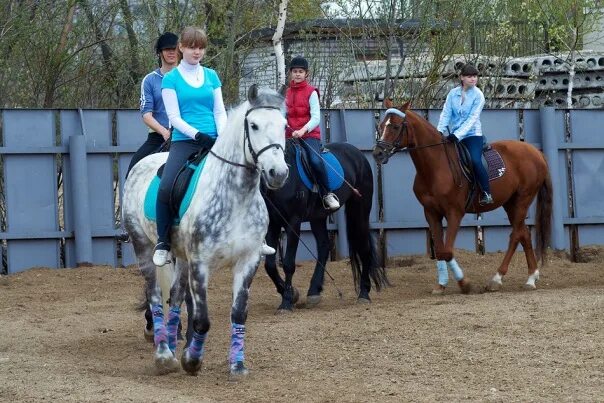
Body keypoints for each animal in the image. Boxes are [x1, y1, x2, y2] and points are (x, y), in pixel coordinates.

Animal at [264, 139, 386, 312]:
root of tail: (358, 154)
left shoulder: (293, 222)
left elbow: (288, 263)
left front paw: (286, 302)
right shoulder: (272, 224)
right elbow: (269, 265)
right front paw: (291, 294)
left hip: (359, 209)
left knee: (364, 247)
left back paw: (363, 293)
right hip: (318, 217)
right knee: (323, 246)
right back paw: (314, 292)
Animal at [372, 99, 552, 292]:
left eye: (396, 126)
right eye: (381, 126)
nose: (377, 153)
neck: (436, 166)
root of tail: (536, 152)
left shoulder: (454, 213)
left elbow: (447, 251)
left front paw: (464, 283)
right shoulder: (431, 213)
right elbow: (441, 250)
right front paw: (441, 285)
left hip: (522, 200)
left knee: (516, 235)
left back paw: (497, 279)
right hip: (510, 203)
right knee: (524, 233)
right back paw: (531, 278)